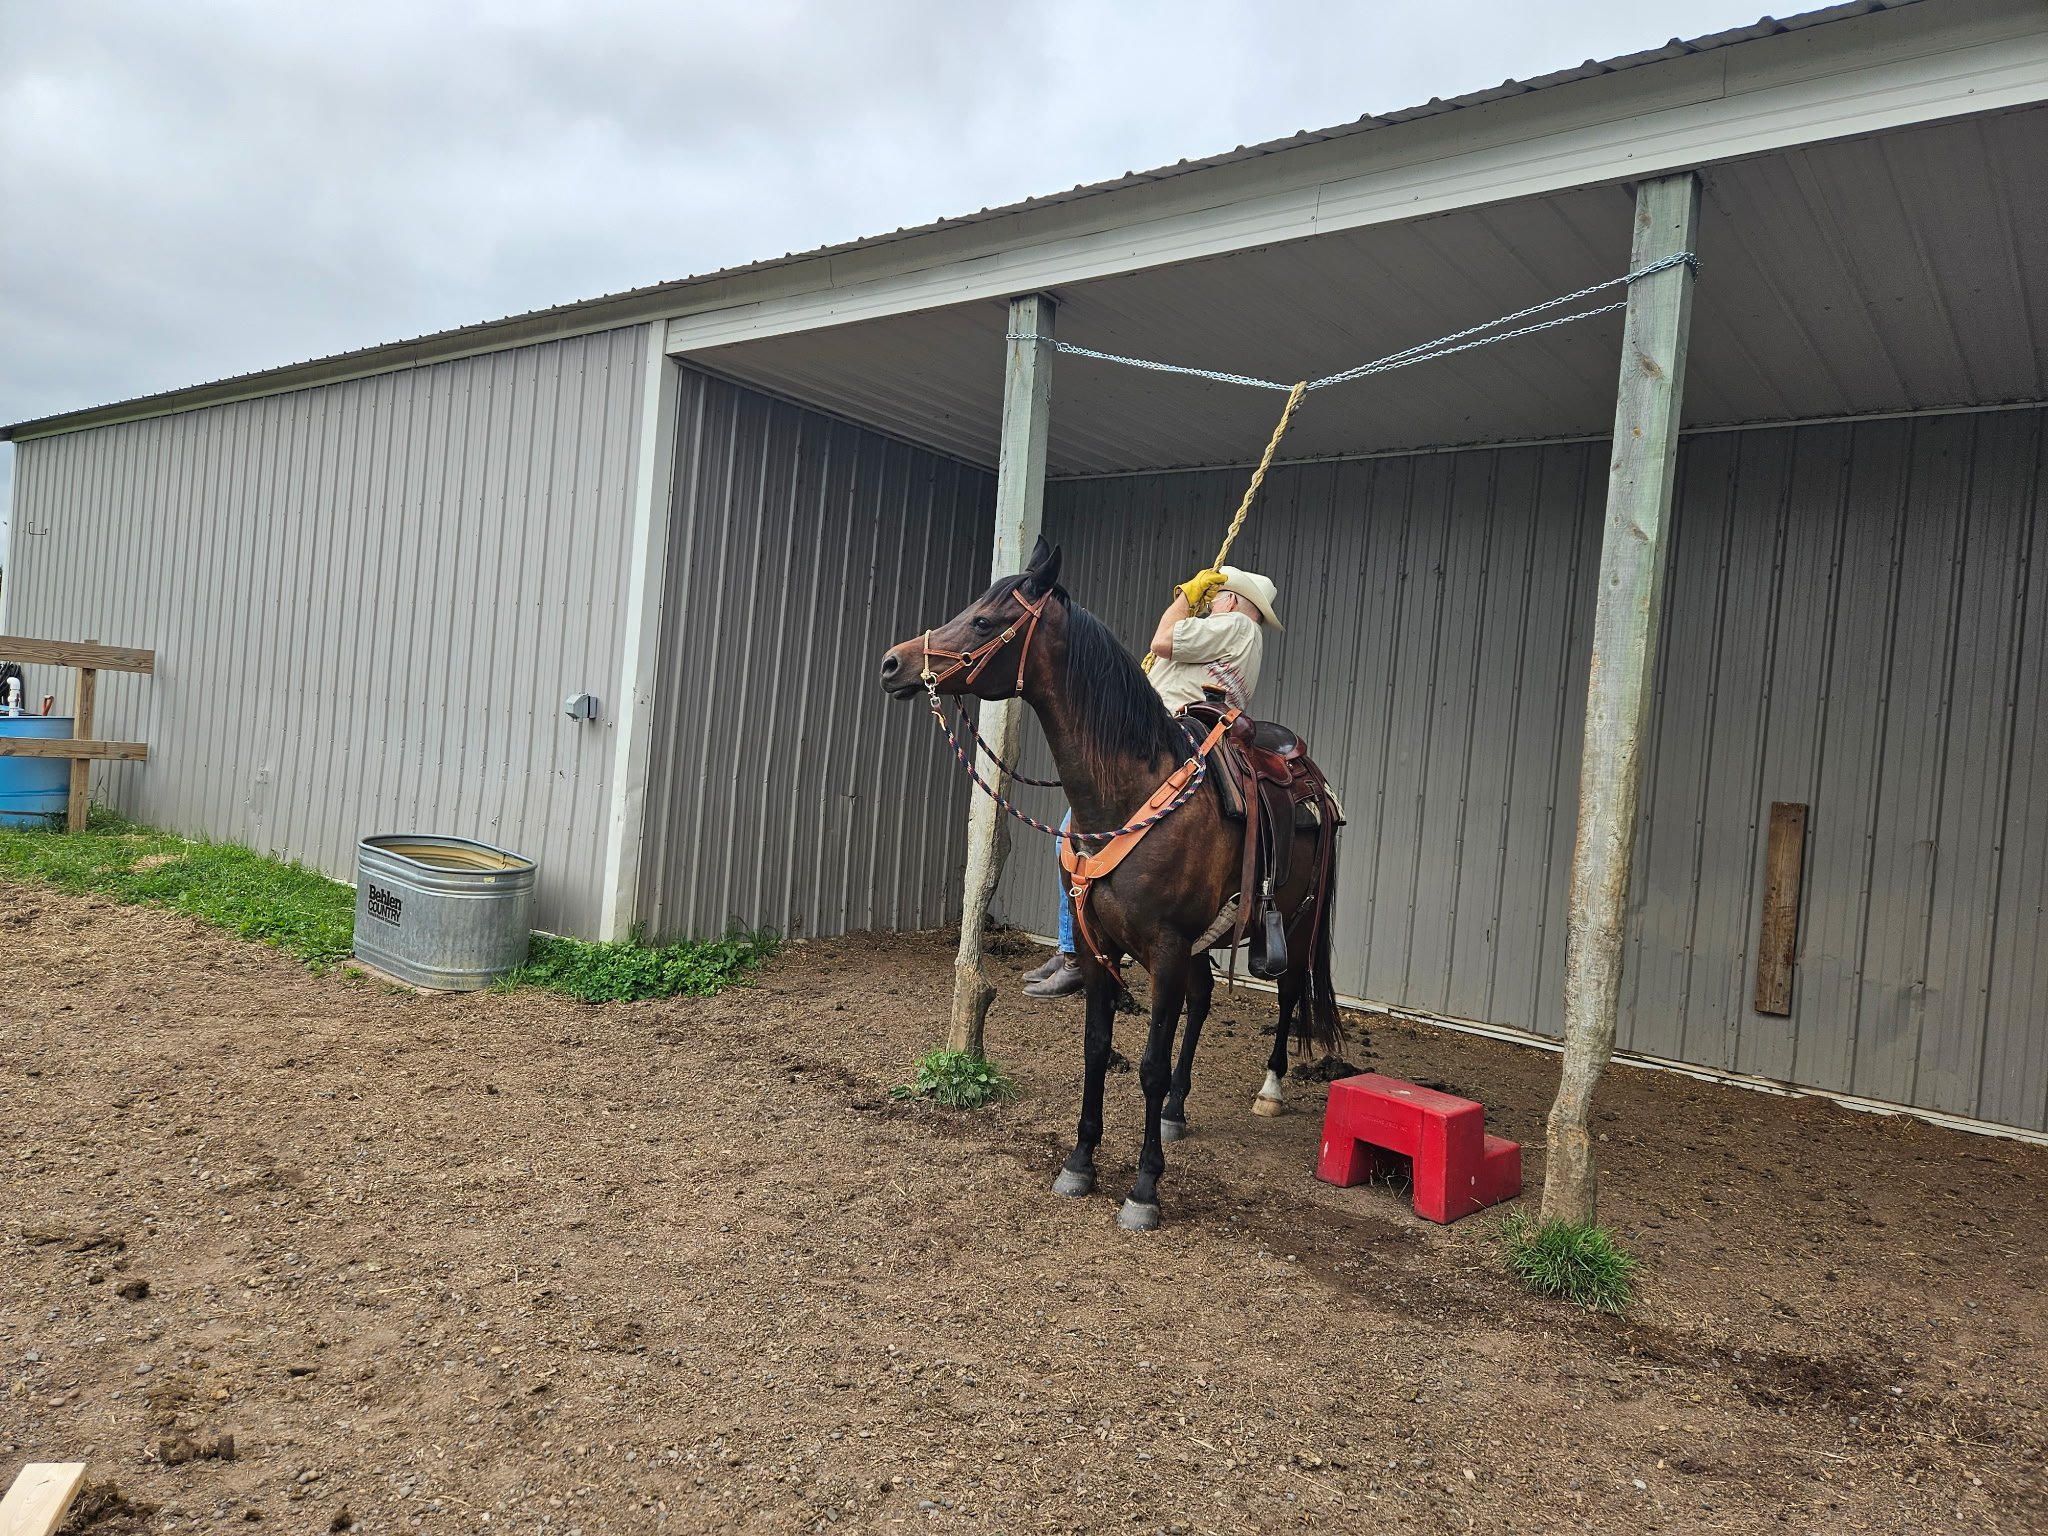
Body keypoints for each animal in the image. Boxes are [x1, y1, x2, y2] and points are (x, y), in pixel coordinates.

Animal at [879, 536, 1344, 1231]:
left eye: (985, 622)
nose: (894, 663)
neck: (1127, 792)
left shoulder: (1167, 947)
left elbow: (1148, 1064)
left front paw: (1145, 1188)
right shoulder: (1105, 943)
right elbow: (1097, 1047)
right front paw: (1080, 1162)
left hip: (1297, 918)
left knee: (1288, 995)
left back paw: (1269, 1088)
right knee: (1203, 1001)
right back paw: (1177, 1110)